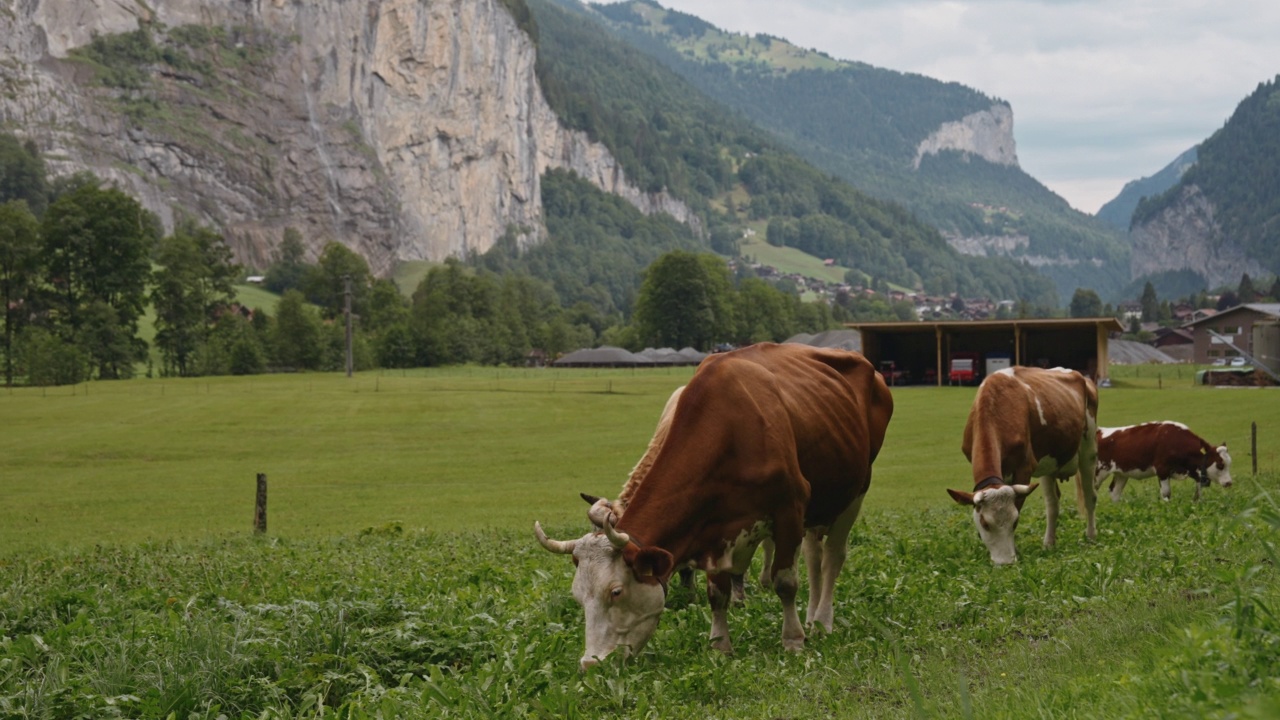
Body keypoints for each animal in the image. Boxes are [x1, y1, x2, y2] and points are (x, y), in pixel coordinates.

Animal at [535, 340, 896, 666]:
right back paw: (811, 616)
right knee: (813, 555)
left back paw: (821, 621)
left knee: (832, 557)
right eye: (578, 596)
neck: (730, 430)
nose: (591, 663)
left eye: (616, 591)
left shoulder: (790, 507)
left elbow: (786, 582)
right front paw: (721, 645)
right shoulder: (713, 527)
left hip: (855, 490)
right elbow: (717, 593)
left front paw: (793, 639)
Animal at [942, 366, 1100, 563]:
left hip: (1088, 449)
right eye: (985, 523)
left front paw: (1015, 551)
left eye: (1015, 521)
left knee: (1089, 496)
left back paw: (1091, 536)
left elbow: (1018, 505)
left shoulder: (1024, 468)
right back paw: (1049, 543)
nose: (1005, 563)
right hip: (1048, 463)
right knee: (1052, 504)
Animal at [1090, 420, 1228, 499]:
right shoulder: (1162, 470)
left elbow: (1198, 491)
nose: (1229, 482)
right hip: (1098, 472)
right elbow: (1166, 493)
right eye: (1220, 465)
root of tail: (1099, 430)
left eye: (1228, 464)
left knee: (1114, 492)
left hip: (1121, 473)